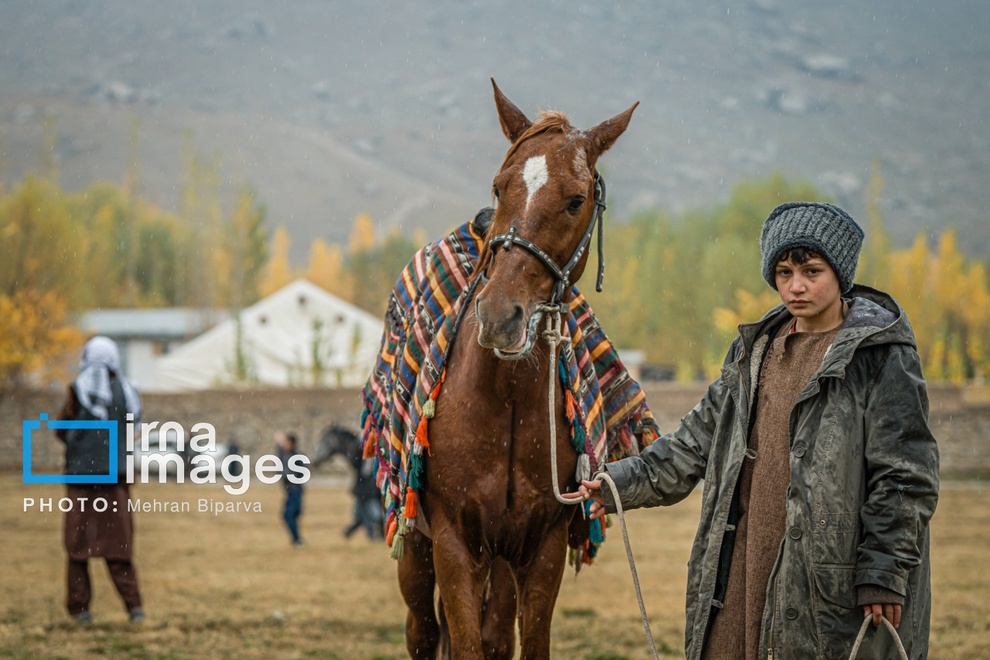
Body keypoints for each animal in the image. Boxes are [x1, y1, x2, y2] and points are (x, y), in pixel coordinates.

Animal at [394, 82, 636, 660]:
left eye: (575, 200)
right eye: (500, 186)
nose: (501, 315)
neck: (504, 398)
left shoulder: (540, 544)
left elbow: (522, 640)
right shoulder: (454, 543)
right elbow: (462, 643)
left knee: (497, 635)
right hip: (417, 551)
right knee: (422, 631)